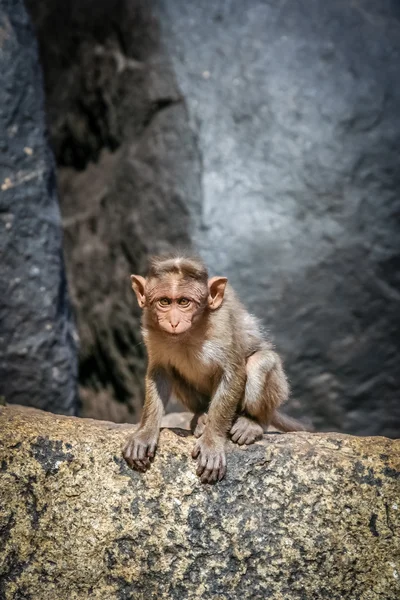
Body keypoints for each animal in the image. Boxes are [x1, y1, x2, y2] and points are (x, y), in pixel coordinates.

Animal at [124, 253, 306, 482]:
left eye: (184, 302)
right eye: (164, 301)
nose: (173, 322)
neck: (190, 332)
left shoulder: (222, 324)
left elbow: (233, 373)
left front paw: (212, 443)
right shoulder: (151, 326)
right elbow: (160, 373)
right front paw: (145, 433)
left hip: (278, 389)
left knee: (260, 362)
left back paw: (254, 422)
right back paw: (201, 416)